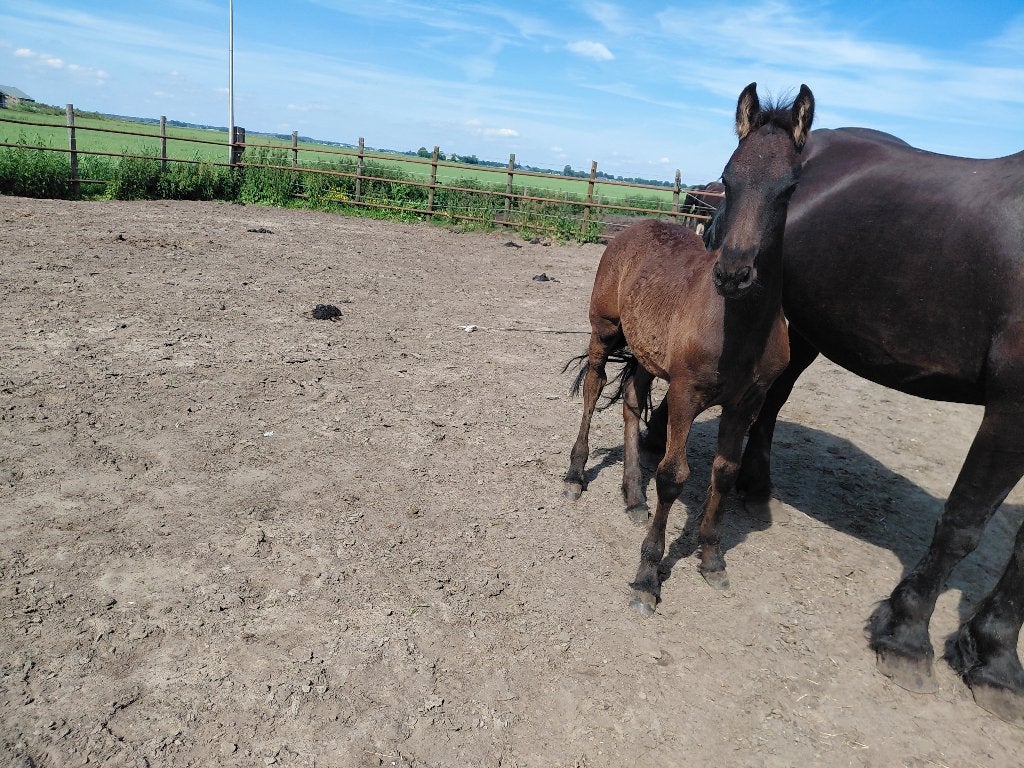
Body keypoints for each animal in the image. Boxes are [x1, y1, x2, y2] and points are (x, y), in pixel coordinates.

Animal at [563, 83, 815, 613]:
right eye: (728, 178)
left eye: (790, 187)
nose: (733, 272)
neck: (737, 327)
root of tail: (634, 227)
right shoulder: (685, 392)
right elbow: (673, 475)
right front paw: (646, 575)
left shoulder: (748, 401)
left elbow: (724, 471)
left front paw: (712, 558)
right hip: (604, 330)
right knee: (594, 389)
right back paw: (575, 475)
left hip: (644, 353)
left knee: (631, 401)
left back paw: (633, 498)